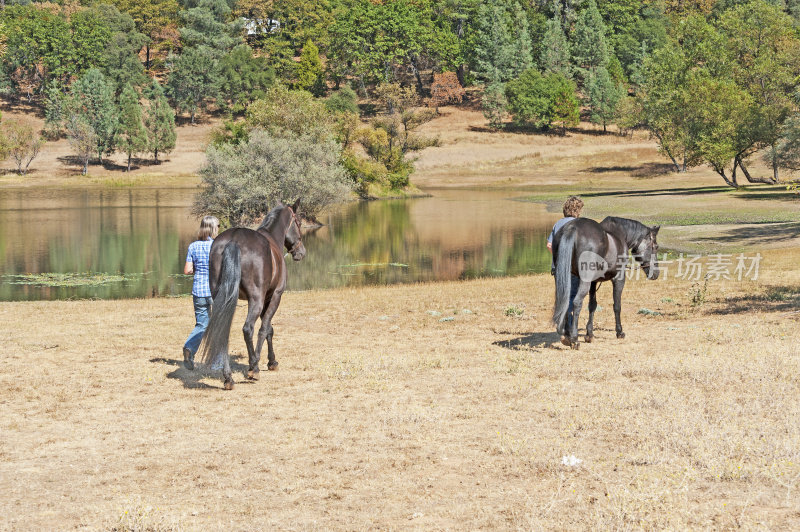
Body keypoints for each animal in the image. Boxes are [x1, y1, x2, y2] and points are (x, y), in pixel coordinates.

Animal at [189, 202, 308, 388]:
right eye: (299, 223)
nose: (301, 252)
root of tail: (234, 240)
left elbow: (269, 329)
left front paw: (270, 361)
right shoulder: (274, 297)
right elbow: (265, 329)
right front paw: (263, 362)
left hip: (221, 300)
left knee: (223, 332)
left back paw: (228, 378)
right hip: (256, 300)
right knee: (248, 329)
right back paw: (253, 369)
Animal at [552, 216, 660, 350]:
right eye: (656, 246)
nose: (656, 273)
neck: (619, 235)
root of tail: (572, 227)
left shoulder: (593, 282)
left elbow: (592, 305)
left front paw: (589, 334)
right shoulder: (619, 278)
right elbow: (617, 306)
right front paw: (619, 331)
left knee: (566, 301)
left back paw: (566, 336)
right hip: (584, 281)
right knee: (576, 303)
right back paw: (574, 339)